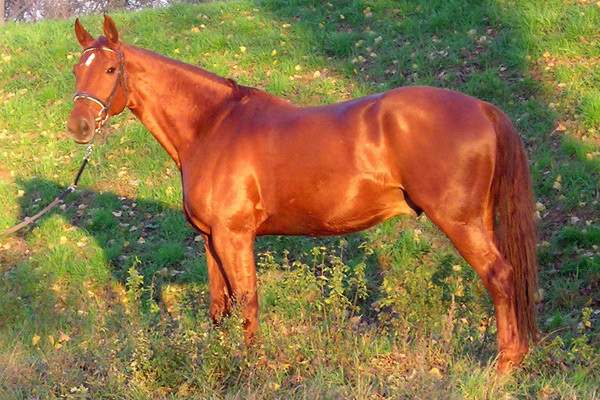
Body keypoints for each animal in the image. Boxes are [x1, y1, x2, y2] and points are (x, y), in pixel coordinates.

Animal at [67, 15, 540, 372]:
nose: (79, 126)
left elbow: (247, 301)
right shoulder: (210, 238)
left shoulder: (234, 236)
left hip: (460, 222)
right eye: (76, 70)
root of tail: (482, 108)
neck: (212, 125)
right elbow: (219, 305)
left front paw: (252, 367)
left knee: (500, 277)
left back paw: (503, 366)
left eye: (110, 70)